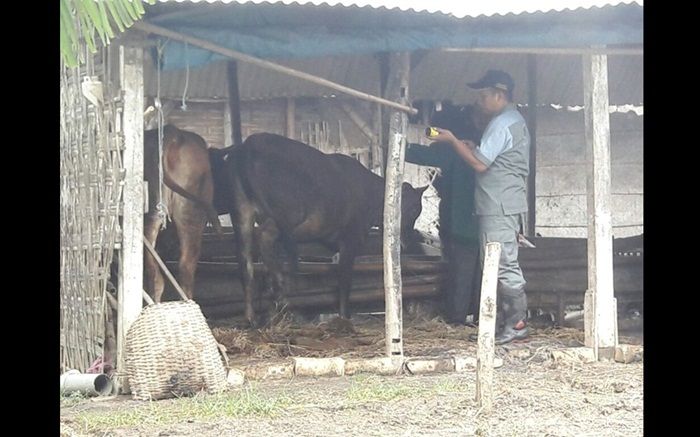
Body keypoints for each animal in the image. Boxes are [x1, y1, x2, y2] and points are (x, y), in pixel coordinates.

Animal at [219, 134, 426, 324]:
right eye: (412, 209)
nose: (407, 241)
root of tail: (247, 145)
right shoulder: (350, 238)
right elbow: (345, 279)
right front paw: (345, 316)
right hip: (287, 215)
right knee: (264, 236)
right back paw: (279, 290)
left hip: (242, 213)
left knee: (245, 263)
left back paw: (251, 316)